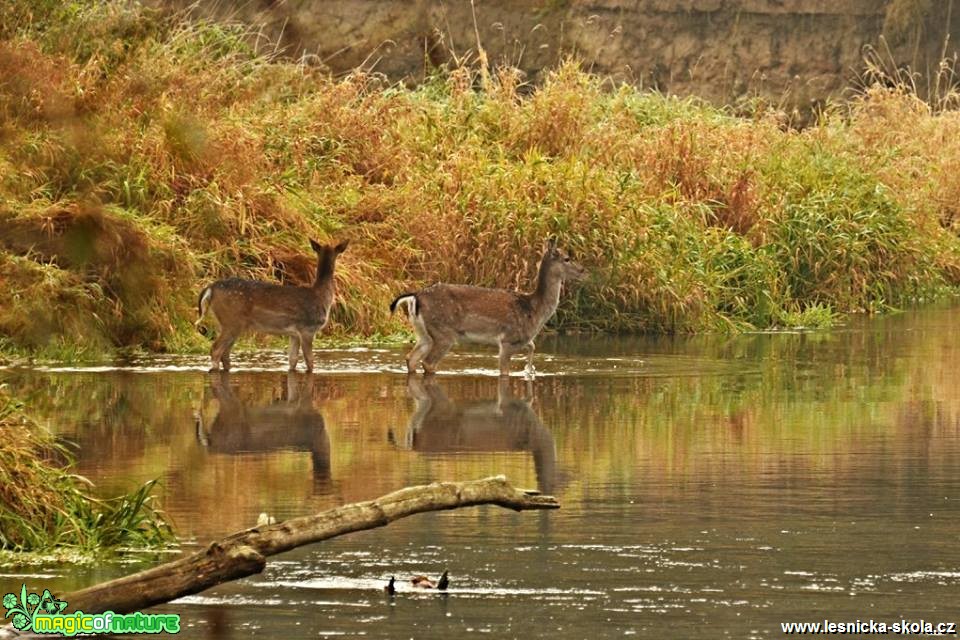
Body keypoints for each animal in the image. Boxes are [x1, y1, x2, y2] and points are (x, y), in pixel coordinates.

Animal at [193, 239, 346, 370]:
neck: (321, 296)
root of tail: (210, 288)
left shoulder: (294, 334)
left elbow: (292, 360)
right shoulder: (307, 328)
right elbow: (310, 361)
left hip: (227, 323)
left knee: (225, 353)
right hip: (231, 320)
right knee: (216, 349)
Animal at [390, 238, 584, 378]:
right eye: (567, 258)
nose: (583, 270)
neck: (533, 310)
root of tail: (416, 296)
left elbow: (533, 346)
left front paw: (529, 369)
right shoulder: (508, 340)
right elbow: (504, 372)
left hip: (423, 333)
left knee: (411, 358)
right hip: (443, 332)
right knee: (428, 362)